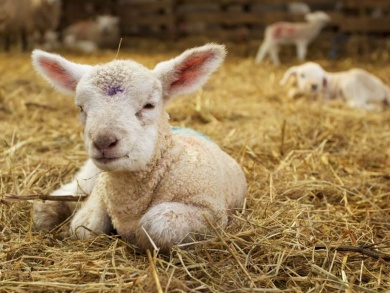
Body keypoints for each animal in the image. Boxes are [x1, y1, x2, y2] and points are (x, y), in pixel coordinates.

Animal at [31, 42, 247, 251]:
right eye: (81, 108)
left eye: (149, 105)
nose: (103, 141)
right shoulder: (100, 193)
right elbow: (84, 227)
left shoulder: (210, 212)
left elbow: (154, 226)